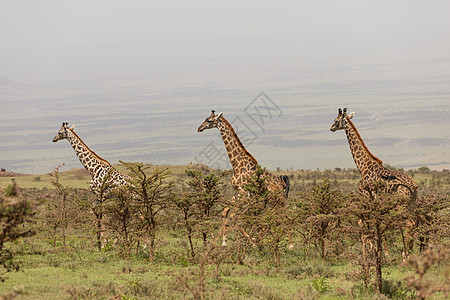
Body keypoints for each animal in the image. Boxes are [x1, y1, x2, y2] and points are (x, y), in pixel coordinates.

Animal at [198, 110, 292, 246]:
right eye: (205, 119)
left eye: (209, 121)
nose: (199, 128)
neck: (237, 164)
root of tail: (281, 182)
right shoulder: (236, 192)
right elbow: (226, 212)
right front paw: (223, 241)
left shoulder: (244, 193)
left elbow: (234, 216)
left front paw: (250, 240)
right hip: (271, 199)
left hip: (276, 198)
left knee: (283, 215)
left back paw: (289, 244)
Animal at [330, 108, 418, 258]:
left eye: (336, 120)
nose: (331, 128)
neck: (363, 166)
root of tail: (414, 187)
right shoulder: (376, 201)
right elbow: (377, 221)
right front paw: (380, 250)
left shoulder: (366, 196)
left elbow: (367, 221)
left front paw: (378, 251)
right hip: (411, 205)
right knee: (412, 223)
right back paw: (409, 253)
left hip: (401, 206)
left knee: (409, 223)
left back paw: (405, 254)